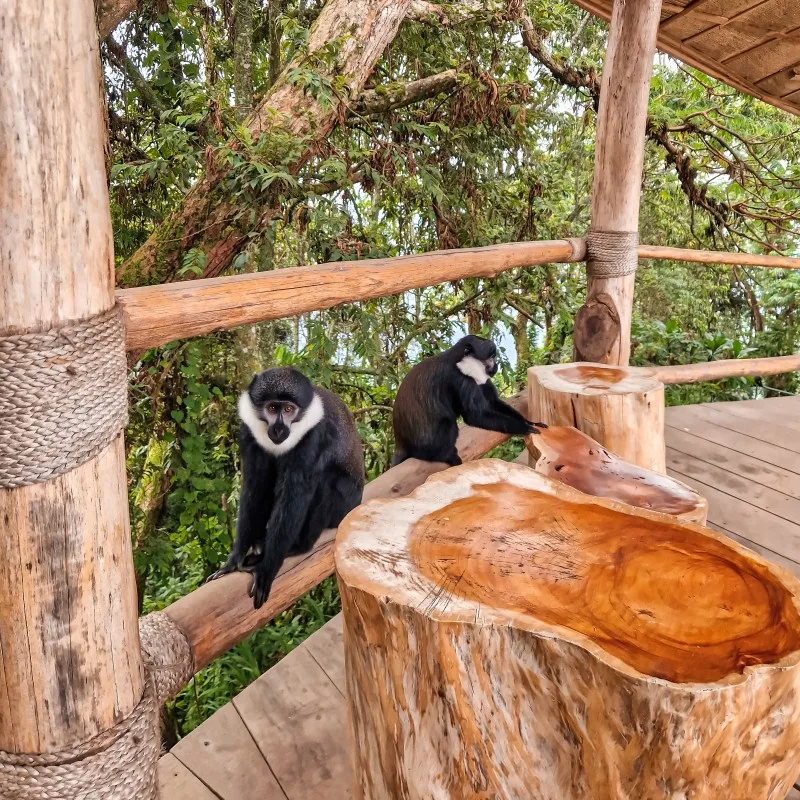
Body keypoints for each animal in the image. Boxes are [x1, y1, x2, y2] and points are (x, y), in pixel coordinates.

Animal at [211, 368, 364, 608]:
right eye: (273, 408)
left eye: (289, 409)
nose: (279, 428)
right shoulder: (248, 433)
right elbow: (254, 487)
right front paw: (234, 560)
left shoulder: (314, 436)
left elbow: (294, 495)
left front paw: (267, 568)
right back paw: (259, 543)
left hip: (344, 504)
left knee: (326, 479)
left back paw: (299, 547)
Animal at [392, 332, 548, 468]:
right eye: (490, 357)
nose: (495, 365)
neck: (458, 361)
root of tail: (401, 443)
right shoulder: (461, 379)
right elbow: (475, 416)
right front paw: (524, 427)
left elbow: (493, 403)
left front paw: (530, 422)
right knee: (449, 423)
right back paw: (445, 456)